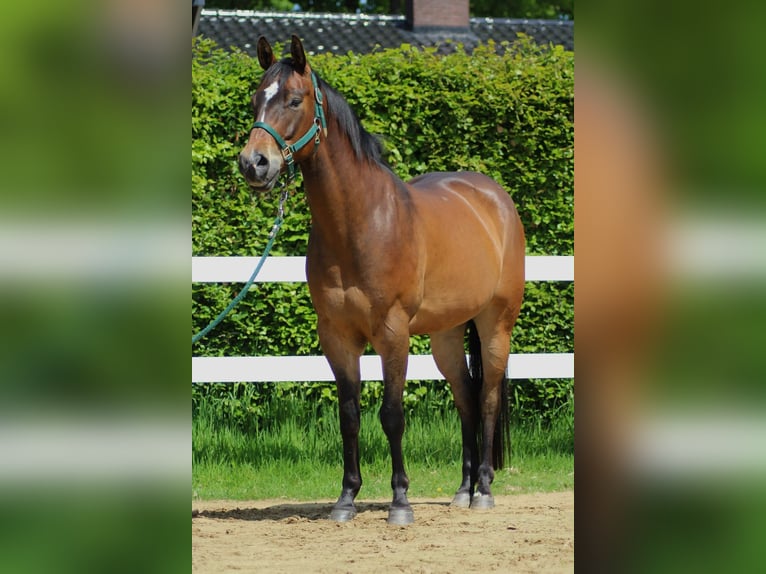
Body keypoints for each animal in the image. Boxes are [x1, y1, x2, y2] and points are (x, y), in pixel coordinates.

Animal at [238, 35, 525, 525]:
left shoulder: (393, 333)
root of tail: (495, 198)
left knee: (486, 397)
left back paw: (484, 490)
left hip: (495, 325)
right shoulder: (337, 335)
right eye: (257, 99)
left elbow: (391, 415)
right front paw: (345, 500)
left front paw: (400, 503)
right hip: (447, 335)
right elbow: (349, 415)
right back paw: (463, 490)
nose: (253, 163)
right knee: (466, 398)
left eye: (294, 100)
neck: (360, 223)